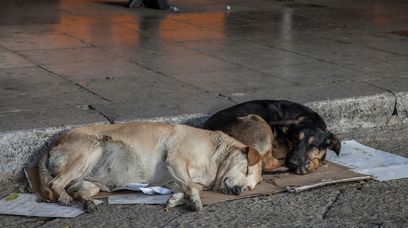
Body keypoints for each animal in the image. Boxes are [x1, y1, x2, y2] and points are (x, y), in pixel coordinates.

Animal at [38, 123, 262, 212]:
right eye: (246, 170)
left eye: (249, 188)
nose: (238, 191)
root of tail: (52, 145)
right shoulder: (176, 161)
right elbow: (192, 186)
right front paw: (194, 201)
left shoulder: (174, 178)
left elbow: (188, 187)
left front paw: (176, 200)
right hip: (89, 150)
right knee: (55, 182)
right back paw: (63, 197)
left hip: (90, 182)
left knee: (79, 192)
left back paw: (88, 203)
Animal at [204, 100, 342, 175]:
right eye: (294, 139)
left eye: (313, 145)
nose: (292, 163)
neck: (308, 117)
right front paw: (310, 164)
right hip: (259, 121)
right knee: (268, 163)